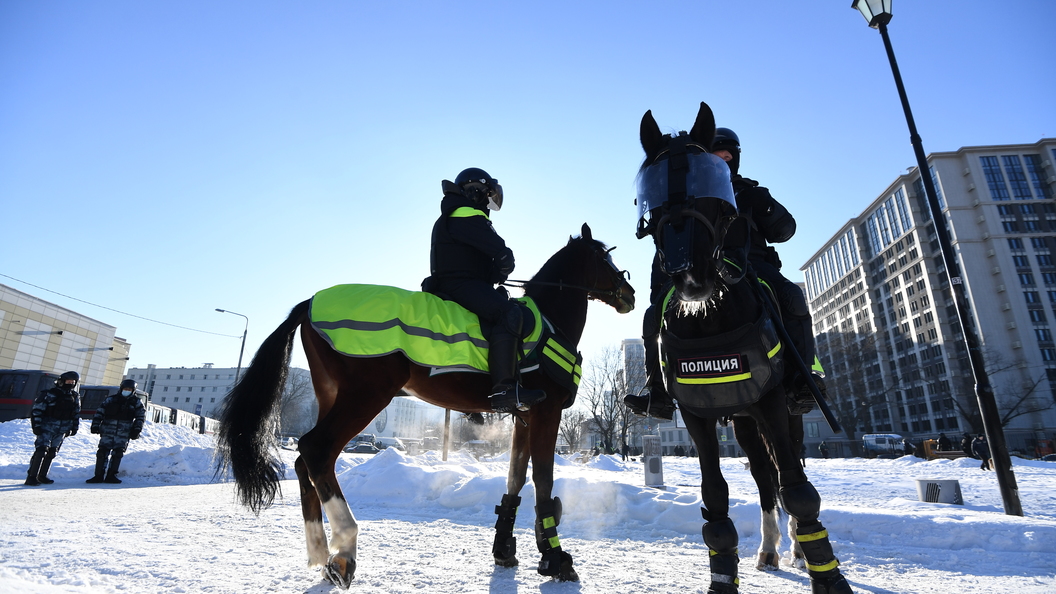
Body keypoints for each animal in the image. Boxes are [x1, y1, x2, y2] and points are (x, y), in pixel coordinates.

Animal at [210, 221, 629, 583]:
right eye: (603, 256)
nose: (630, 293)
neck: (549, 321)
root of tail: (311, 302)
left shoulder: (523, 414)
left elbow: (516, 476)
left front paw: (506, 551)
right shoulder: (546, 411)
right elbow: (543, 478)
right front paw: (556, 559)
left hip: (332, 396)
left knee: (305, 461)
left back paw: (320, 552)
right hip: (366, 396)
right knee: (316, 449)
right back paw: (344, 549)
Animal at [633, 103, 849, 591]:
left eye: (715, 191)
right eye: (652, 196)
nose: (689, 277)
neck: (710, 317)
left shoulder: (770, 401)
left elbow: (799, 490)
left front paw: (826, 575)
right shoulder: (697, 414)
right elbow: (715, 493)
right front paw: (722, 575)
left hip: (784, 412)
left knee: (790, 473)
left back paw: (798, 550)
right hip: (745, 423)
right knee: (766, 479)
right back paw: (768, 549)